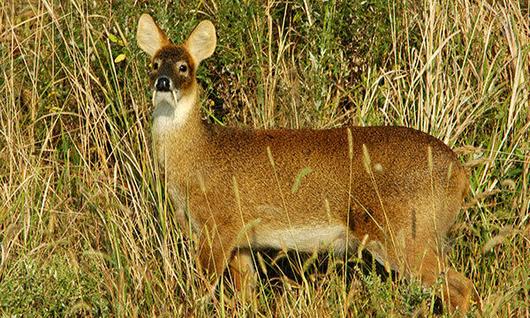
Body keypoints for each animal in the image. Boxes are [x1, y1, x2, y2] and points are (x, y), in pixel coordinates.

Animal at [135, 13, 470, 312]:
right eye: (154, 65)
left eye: (184, 67)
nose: (163, 83)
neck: (198, 156)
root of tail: (460, 174)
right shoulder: (242, 242)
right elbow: (247, 294)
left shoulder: (220, 225)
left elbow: (200, 290)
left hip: (403, 232)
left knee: (460, 286)